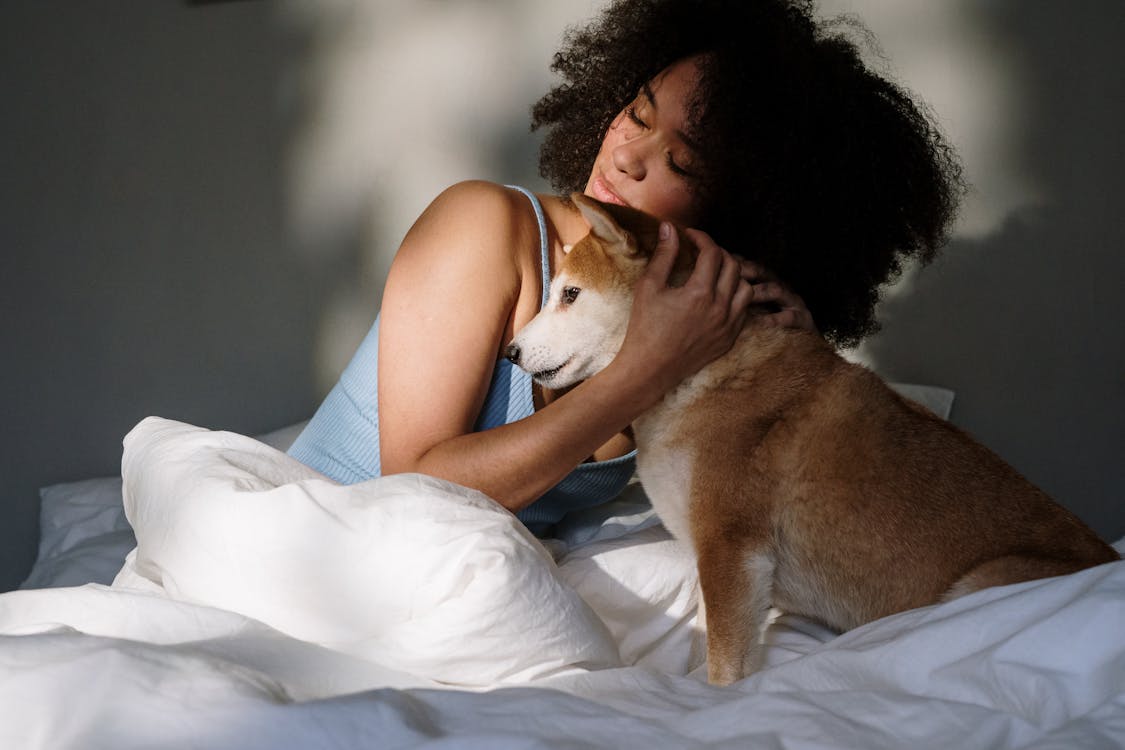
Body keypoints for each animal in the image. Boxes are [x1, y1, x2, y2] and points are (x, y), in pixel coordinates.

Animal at [508, 192, 1116, 688]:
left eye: (570, 294)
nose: (510, 352)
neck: (702, 373)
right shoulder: (720, 562)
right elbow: (714, 639)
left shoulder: (732, 546)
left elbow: (725, 667)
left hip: (981, 585)